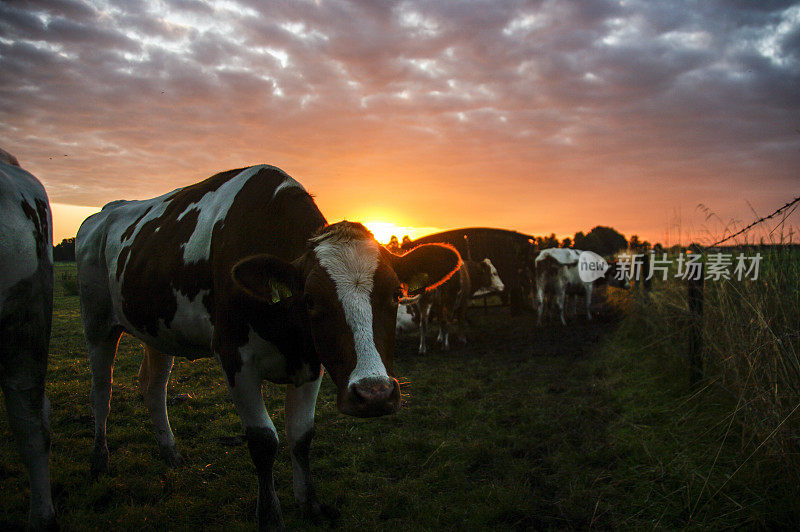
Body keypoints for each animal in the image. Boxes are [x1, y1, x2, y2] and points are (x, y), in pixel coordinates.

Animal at [78, 164, 462, 528]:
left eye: (396, 294)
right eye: (310, 299)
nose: (375, 395)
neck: (287, 334)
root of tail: (103, 214)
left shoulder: (311, 363)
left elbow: (301, 435)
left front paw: (311, 505)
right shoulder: (234, 358)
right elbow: (263, 441)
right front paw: (270, 516)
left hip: (158, 329)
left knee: (154, 387)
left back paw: (170, 452)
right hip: (97, 324)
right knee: (102, 391)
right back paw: (99, 460)